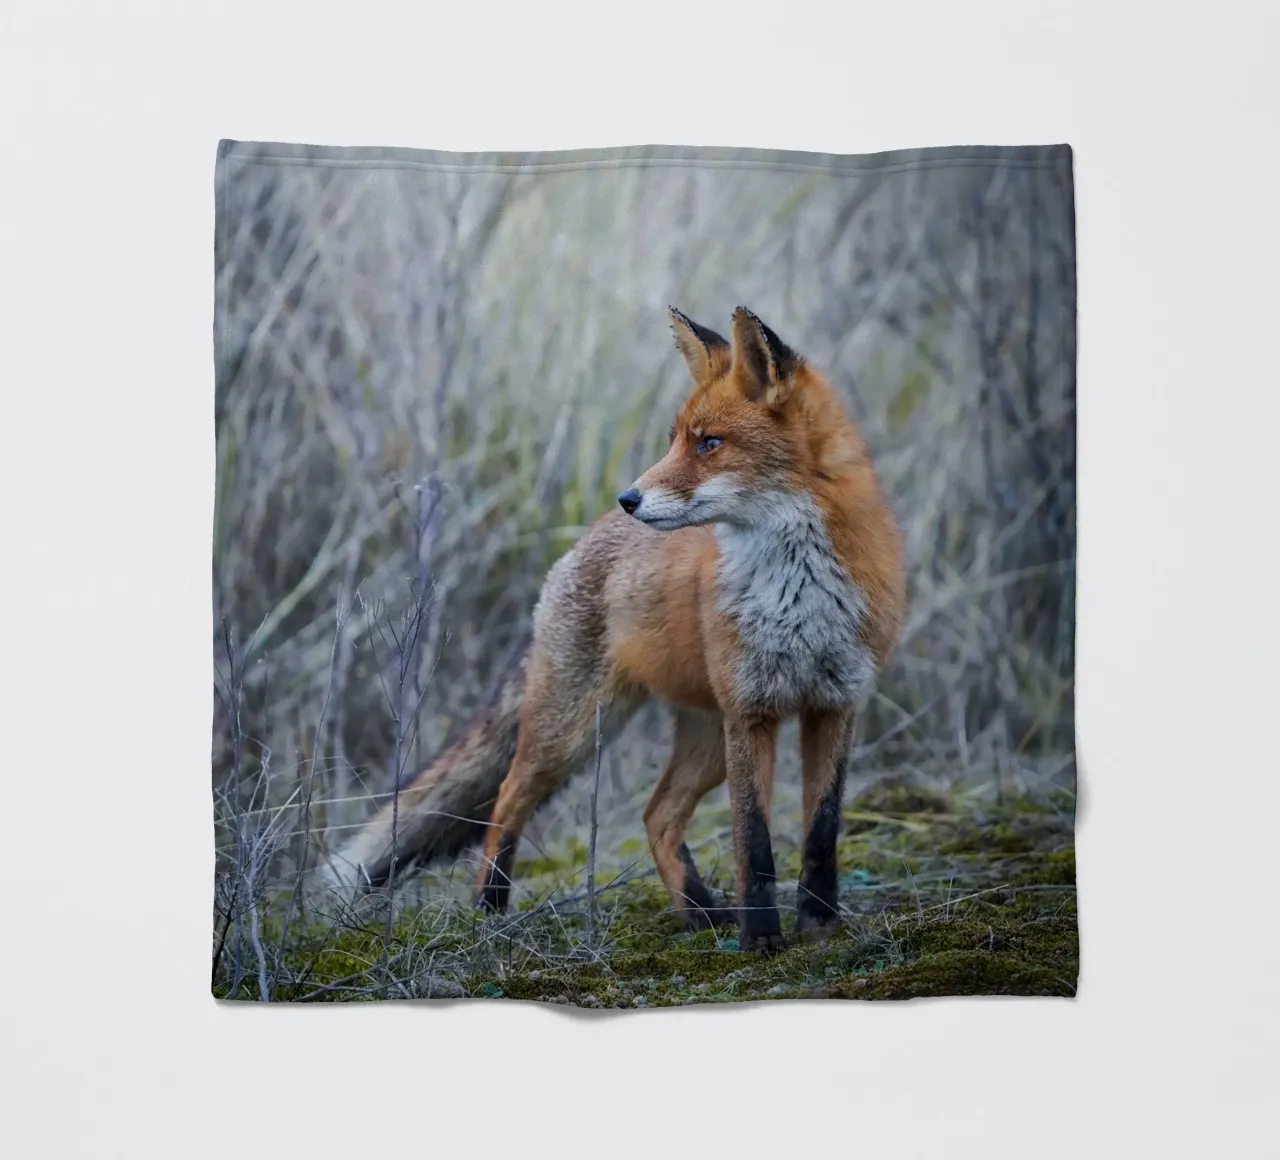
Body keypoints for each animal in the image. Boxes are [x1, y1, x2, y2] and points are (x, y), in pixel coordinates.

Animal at [322, 307, 906, 952]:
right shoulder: (751, 712)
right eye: (676, 438)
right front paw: (762, 941)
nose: (630, 497)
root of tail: (584, 540)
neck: (796, 591)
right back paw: (490, 911)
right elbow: (753, 844)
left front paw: (820, 927)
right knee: (507, 799)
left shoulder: (835, 703)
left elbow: (821, 833)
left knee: (657, 815)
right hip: (574, 730)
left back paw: (700, 914)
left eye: (710, 443)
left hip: (705, 739)